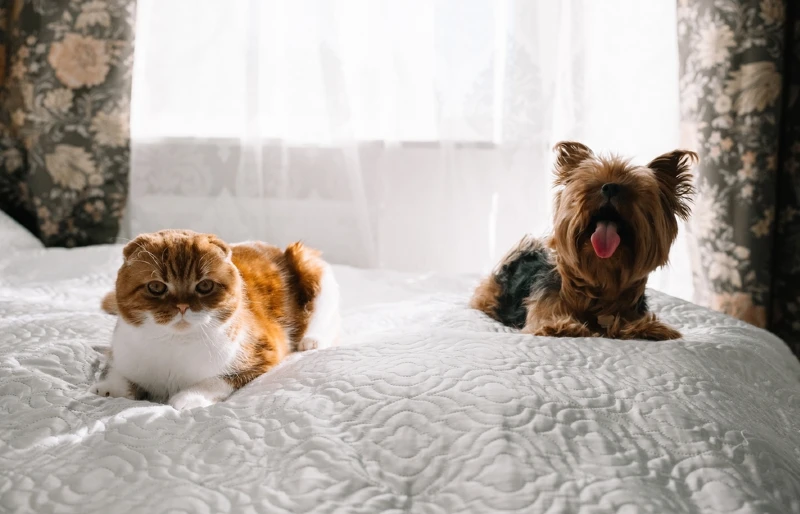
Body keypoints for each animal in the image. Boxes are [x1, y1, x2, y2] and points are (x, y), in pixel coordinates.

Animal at [90, 228, 340, 408]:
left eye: (205, 286)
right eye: (156, 287)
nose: (182, 306)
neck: (173, 345)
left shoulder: (264, 353)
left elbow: (215, 380)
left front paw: (187, 398)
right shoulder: (121, 352)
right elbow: (115, 369)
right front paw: (109, 386)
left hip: (310, 265)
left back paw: (311, 339)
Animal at [472, 141, 696, 340]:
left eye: (636, 189)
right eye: (591, 183)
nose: (611, 187)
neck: (602, 277)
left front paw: (649, 328)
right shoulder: (544, 310)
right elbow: (547, 322)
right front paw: (562, 326)